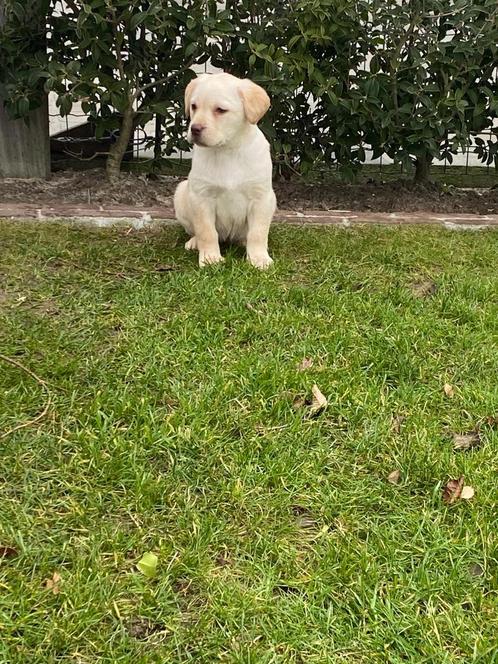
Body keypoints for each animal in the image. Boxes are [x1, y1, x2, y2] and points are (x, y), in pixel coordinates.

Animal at [174, 73, 276, 270]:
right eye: (194, 106)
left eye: (220, 110)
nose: (194, 128)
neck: (227, 149)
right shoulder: (202, 197)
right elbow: (206, 231)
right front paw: (210, 258)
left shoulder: (261, 198)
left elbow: (258, 232)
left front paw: (259, 258)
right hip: (181, 192)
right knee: (197, 231)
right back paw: (194, 242)